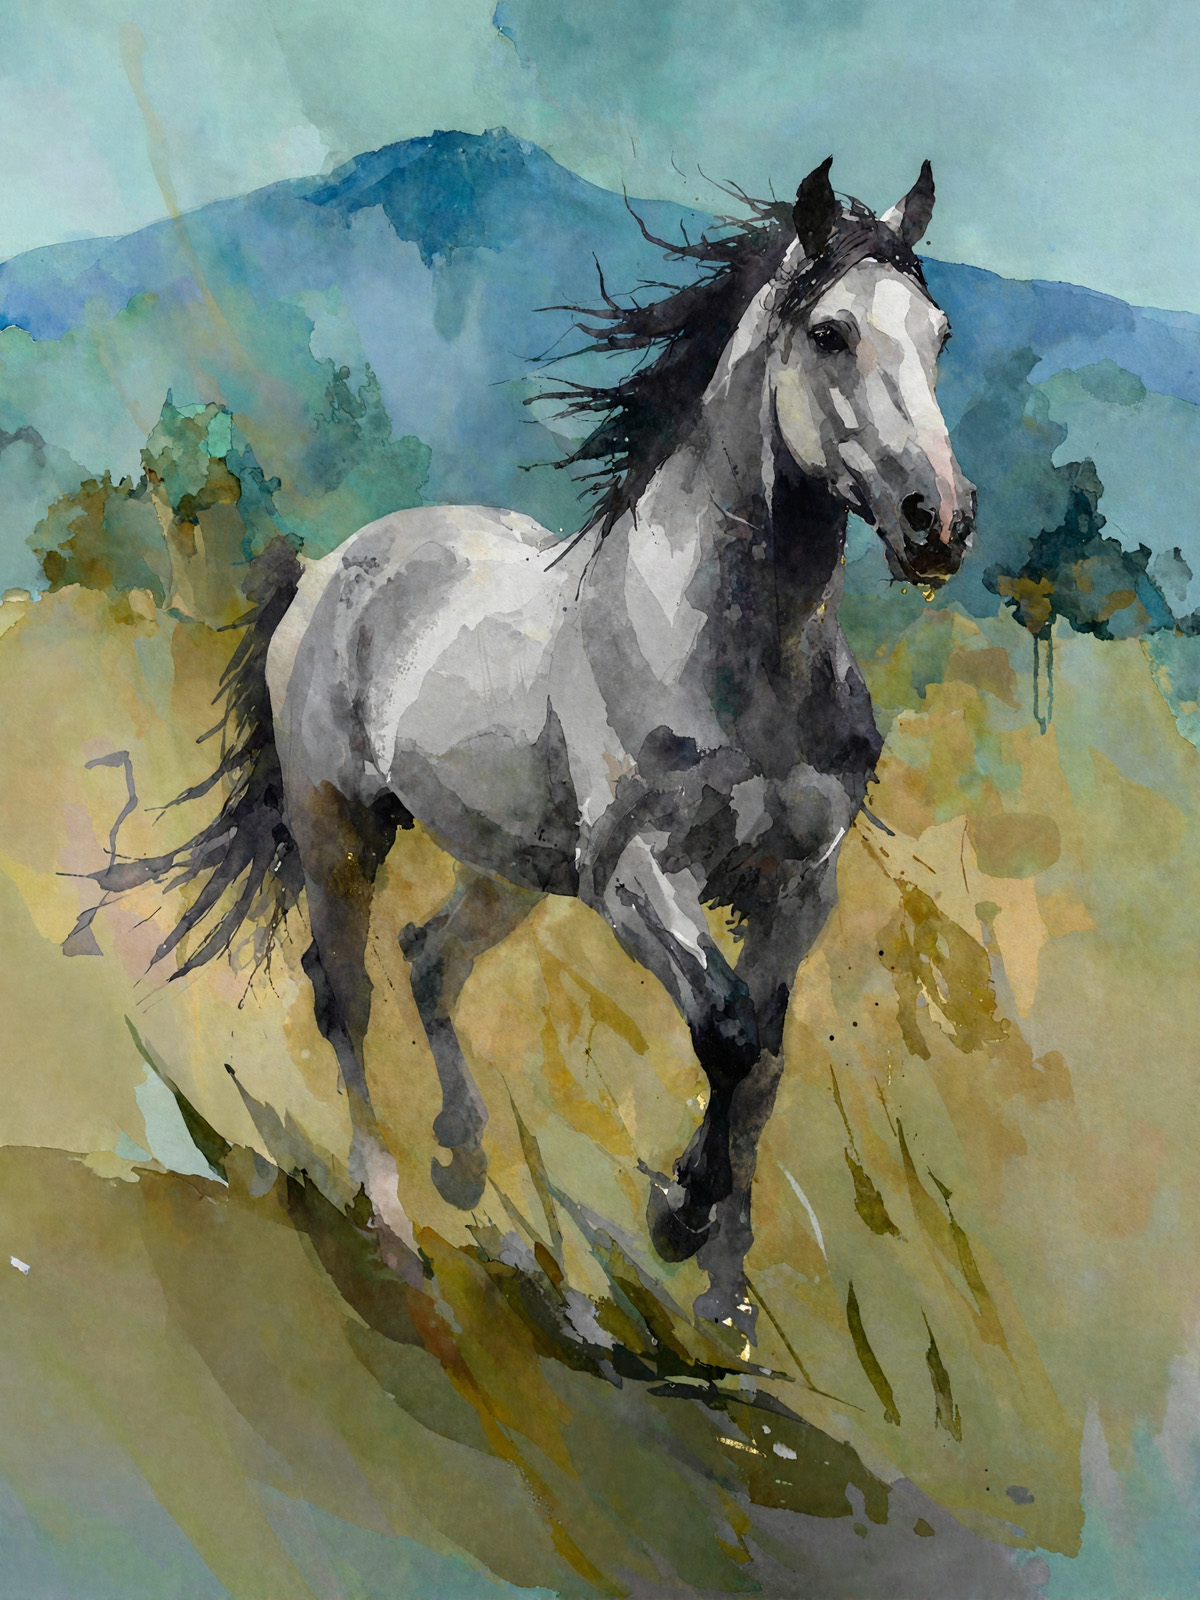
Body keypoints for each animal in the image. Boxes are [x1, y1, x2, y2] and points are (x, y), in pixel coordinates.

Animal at [101, 157, 974, 1330]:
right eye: (831, 333)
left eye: (938, 333)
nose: (941, 522)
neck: (736, 653)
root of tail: (326, 568)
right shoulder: (634, 875)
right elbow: (728, 1033)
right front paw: (678, 1216)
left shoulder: (800, 885)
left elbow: (764, 1068)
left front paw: (728, 1307)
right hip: (341, 828)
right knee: (346, 994)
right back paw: (392, 1222)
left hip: (510, 865)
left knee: (428, 960)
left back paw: (464, 1160)